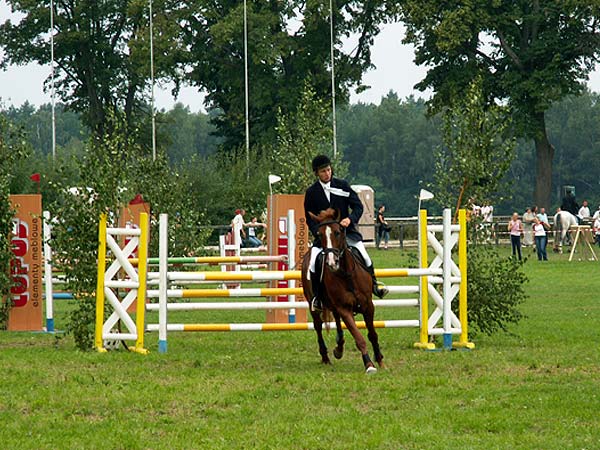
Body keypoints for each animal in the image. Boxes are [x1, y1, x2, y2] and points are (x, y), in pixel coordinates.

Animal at [300, 207, 384, 372]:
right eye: (319, 234)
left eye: (338, 232)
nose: (332, 263)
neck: (346, 274)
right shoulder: (345, 309)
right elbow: (359, 337)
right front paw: (369, 364)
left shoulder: (368, 306)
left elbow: (372, 334)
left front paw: (380, 360)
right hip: (314, 305)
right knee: (318, 326)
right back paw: (326, 357)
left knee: (337, 321)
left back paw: (339, 347)